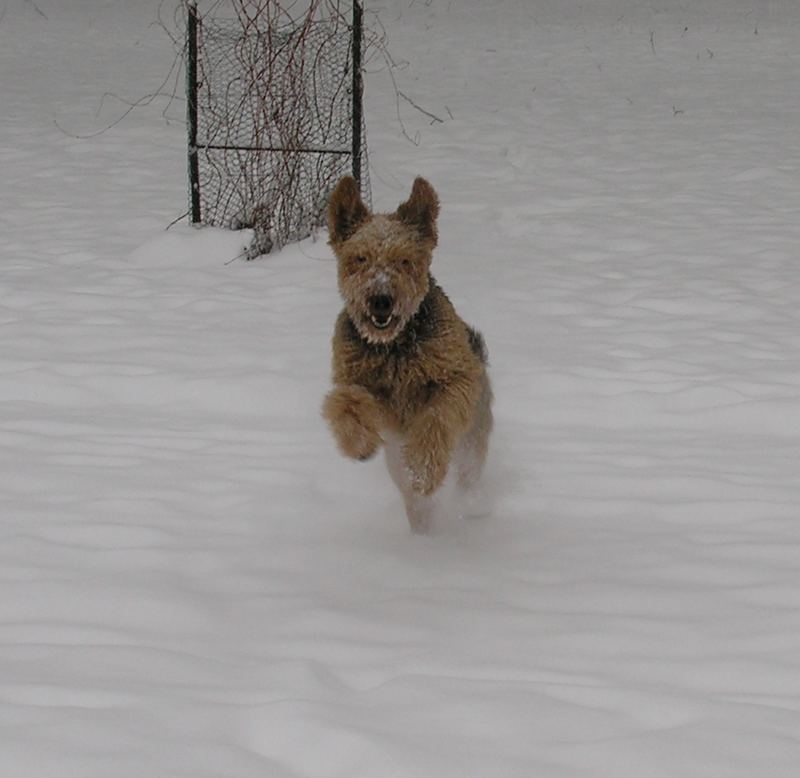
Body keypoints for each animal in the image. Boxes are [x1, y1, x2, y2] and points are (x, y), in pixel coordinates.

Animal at [322, 176, 490, 532]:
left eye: (404, 260)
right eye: (360, 258)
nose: (381, 300)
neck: (394, 347)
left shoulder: (455, 379)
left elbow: (435, 419)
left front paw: (424, 471)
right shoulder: (357, 381)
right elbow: (347, 402)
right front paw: (358, 441)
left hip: (473, 437)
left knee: (467, 474)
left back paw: (470, 504)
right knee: (415, 501)